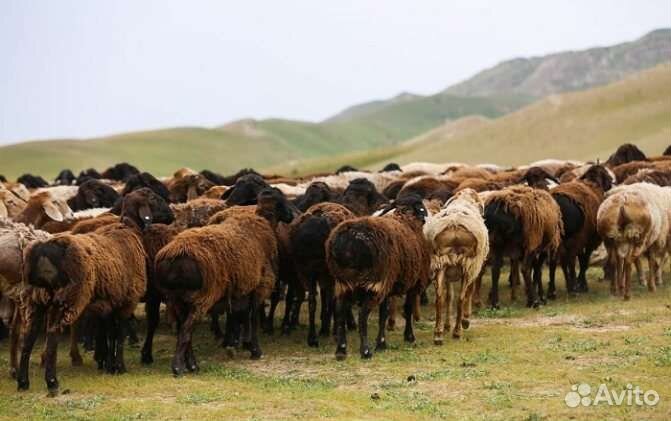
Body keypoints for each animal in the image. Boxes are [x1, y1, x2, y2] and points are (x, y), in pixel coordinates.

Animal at [16, 189, 164, 394]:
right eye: (154, 198)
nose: (172, 215)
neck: (128, 228)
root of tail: (44, 249)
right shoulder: (128, 300)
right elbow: (119, 334)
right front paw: (120, 366)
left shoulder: (110, 301)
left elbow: (110, 333)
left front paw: (109, 365)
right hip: (69, 297)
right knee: (52, 334)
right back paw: (52, 381)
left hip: (36, 298)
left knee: (28, 337)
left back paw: (23, 382)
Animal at [155, 188, 294, 375]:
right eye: (281, 201)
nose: (291, 216)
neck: (264, 222)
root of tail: (173, 257)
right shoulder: (259, 286)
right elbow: (253, 319)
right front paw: (255, 350)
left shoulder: (242, 290)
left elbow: (242, 316)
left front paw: (240, 344)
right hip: (203, 296)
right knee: (185, 331)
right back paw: (178, 367)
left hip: (176, 298)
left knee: (184, 331)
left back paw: (191, 364)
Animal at [289, 202, 356, 347]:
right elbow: (333, 301)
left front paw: (325, 328)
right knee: (333, 301)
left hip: (309, 272)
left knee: (312, 301)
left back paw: (312, 337)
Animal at [326, 194, 431, 360]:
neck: (405, 215)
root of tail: (348, 244)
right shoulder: (414, 283)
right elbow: (407, 310)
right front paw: (409, 336)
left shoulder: (388, 287)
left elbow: (383, 314)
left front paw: (382, 343)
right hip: (373, 282)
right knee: (362, 316)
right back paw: (365, 351)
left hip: (344, 282)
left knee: (340, 312)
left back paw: (341, 350)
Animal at [423, 189, 489, 344]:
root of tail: (454, 223)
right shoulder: (474, 267)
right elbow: (467, 292)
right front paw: (466, 319)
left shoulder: (449, 272)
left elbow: (449, 296)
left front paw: (447, 325)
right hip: (467, 264)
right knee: (461, 297)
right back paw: (458, 331)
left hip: (440, 263)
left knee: (440, 298)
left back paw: (438, 334)